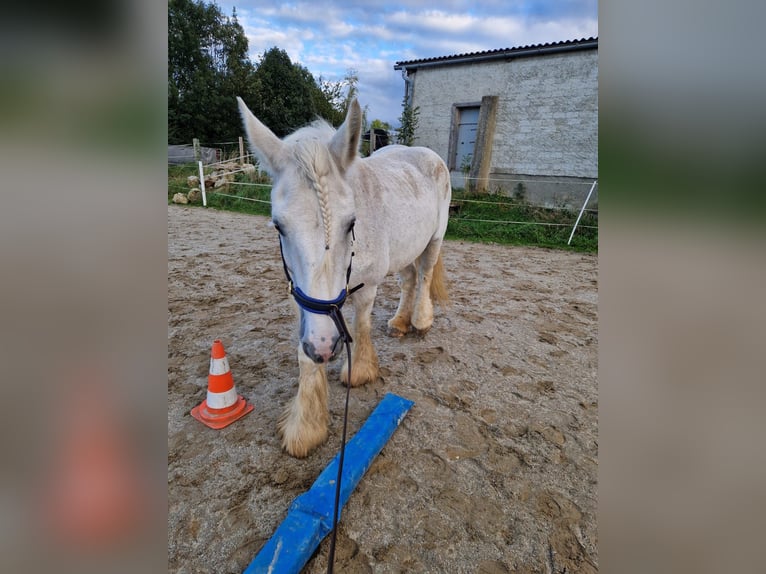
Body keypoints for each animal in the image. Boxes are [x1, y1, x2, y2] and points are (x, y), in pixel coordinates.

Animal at [237, 97, 452, 458]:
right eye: (279, 226)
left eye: (351, 223)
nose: (326, 347)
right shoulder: (302, 298)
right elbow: (305, 355)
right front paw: (306, 427)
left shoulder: (367, 287)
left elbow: (360, 325)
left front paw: (359, 372)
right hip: (404, 248)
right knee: (409, 279)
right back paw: (399, 322)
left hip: (434, 238)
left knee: (423, 275)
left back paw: (420, 321)